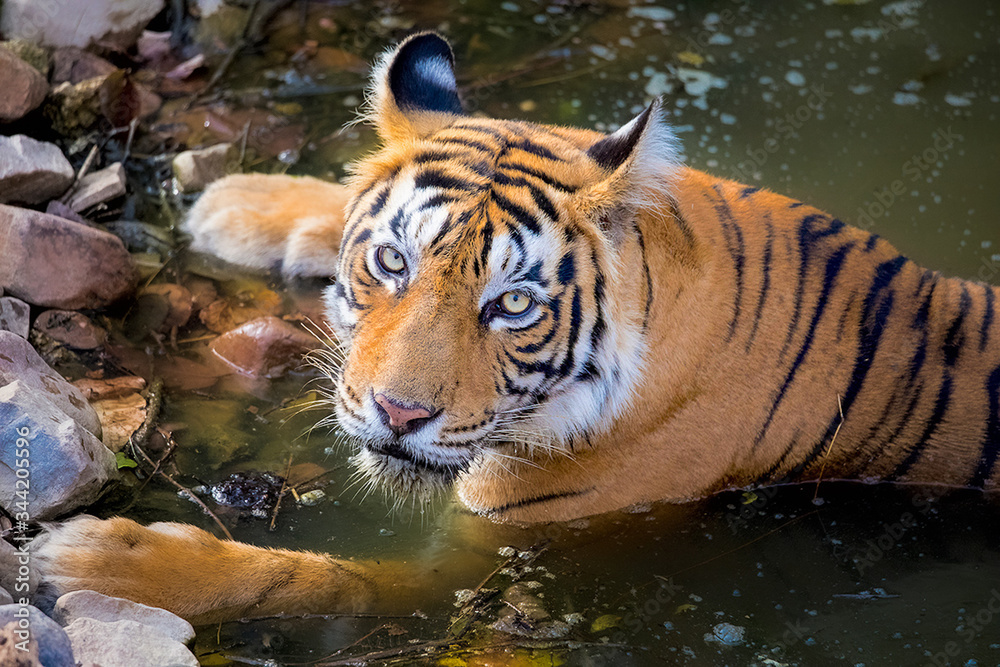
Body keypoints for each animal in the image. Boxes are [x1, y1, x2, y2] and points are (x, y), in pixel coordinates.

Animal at [34, 32, 1000, 625]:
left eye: (513, 305)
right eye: (392, 262)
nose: (398, 415)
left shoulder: (477, 556)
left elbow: (322, 574)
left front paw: (102, 562)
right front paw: (243, 200)